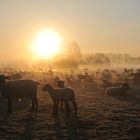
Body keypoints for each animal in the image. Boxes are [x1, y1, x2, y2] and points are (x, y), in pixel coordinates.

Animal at [0, 83, 140, 139]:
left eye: (46, 86)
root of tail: (72, 91)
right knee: (74, 106)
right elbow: (57, 106)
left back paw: (71, 114)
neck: (53, 91)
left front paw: (54, 113)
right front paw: (56, 113)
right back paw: (73, 114)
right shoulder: (58, 100)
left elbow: (55, 106)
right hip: (70, 99)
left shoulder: (56, 99)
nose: (43, 90)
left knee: (72, 106)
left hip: (69, 98)